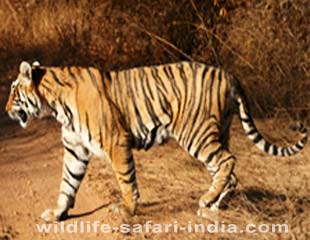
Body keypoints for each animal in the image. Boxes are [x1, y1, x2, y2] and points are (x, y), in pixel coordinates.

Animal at [5, 61, 308, 222]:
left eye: (13, 91)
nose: (6, 109)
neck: (53, 104)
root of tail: (228, 73)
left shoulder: (116, 141)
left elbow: (126, 180)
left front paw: (127, 209)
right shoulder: (75, 149)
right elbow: (67, 183)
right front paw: (57, 213)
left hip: (196, 133)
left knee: (228, 161)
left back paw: (207, 199)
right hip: (219, 132)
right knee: (229, 171)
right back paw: (214, 205)